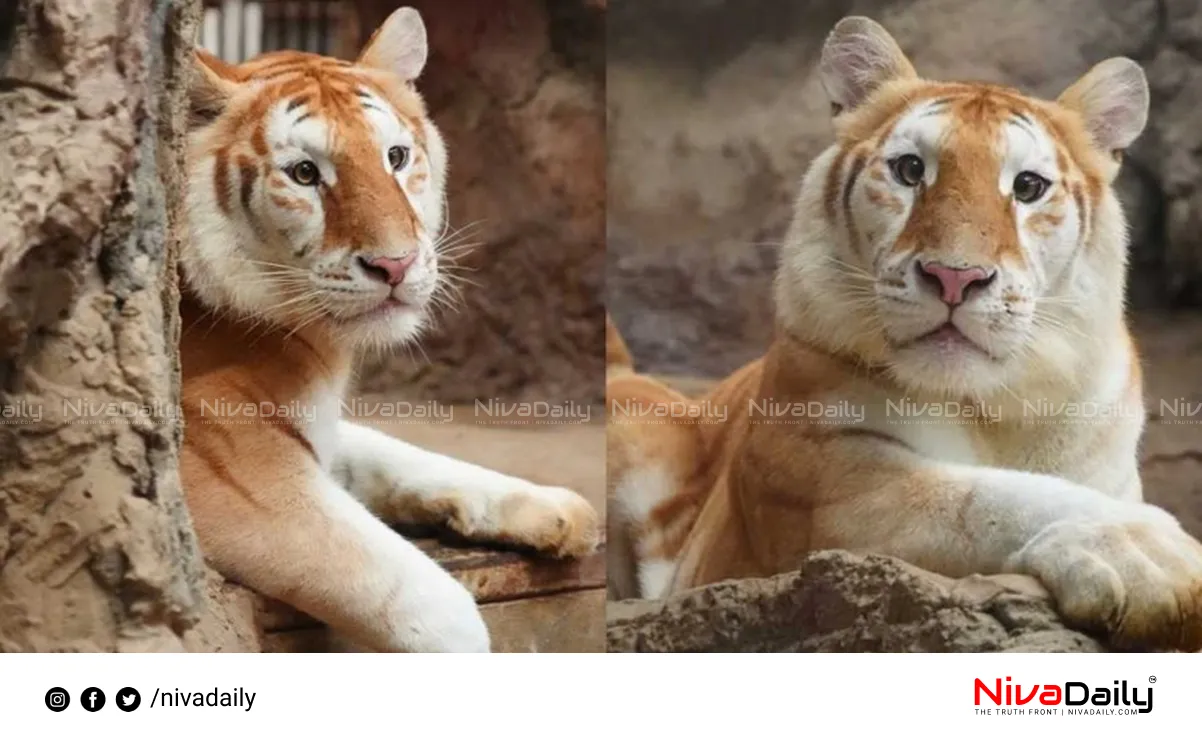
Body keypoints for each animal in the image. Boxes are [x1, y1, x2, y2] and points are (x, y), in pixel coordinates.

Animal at [179, 8, 601, 649]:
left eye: (396, 158)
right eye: (305, 174)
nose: (395, 264)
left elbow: (397, 452)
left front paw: (554, 507)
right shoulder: (233, 474)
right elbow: (430, 602)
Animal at [605, 12, 1202, 649]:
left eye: (1028, 187)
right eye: (911, 170)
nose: (955, 277)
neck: (995, 408)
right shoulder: (831, 483)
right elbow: (990, 497)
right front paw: (1151, 556)